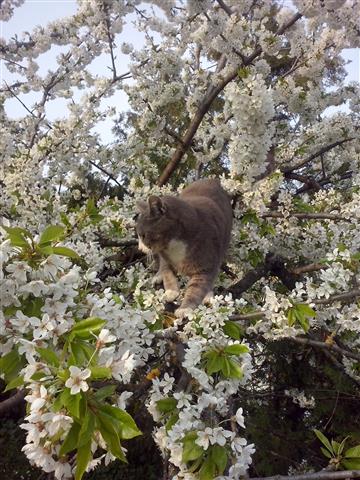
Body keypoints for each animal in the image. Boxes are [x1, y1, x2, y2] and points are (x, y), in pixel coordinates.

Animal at [136, 178, 233, 316]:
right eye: (138, 235)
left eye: (143, 235)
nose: (140, 248)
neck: (174, 244)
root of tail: (211, 180)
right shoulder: (165, 256)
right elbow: (166, 271)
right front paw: (171, 292)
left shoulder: (206, 266)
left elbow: (196, 289)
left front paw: (185, 309)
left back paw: (208, 295)